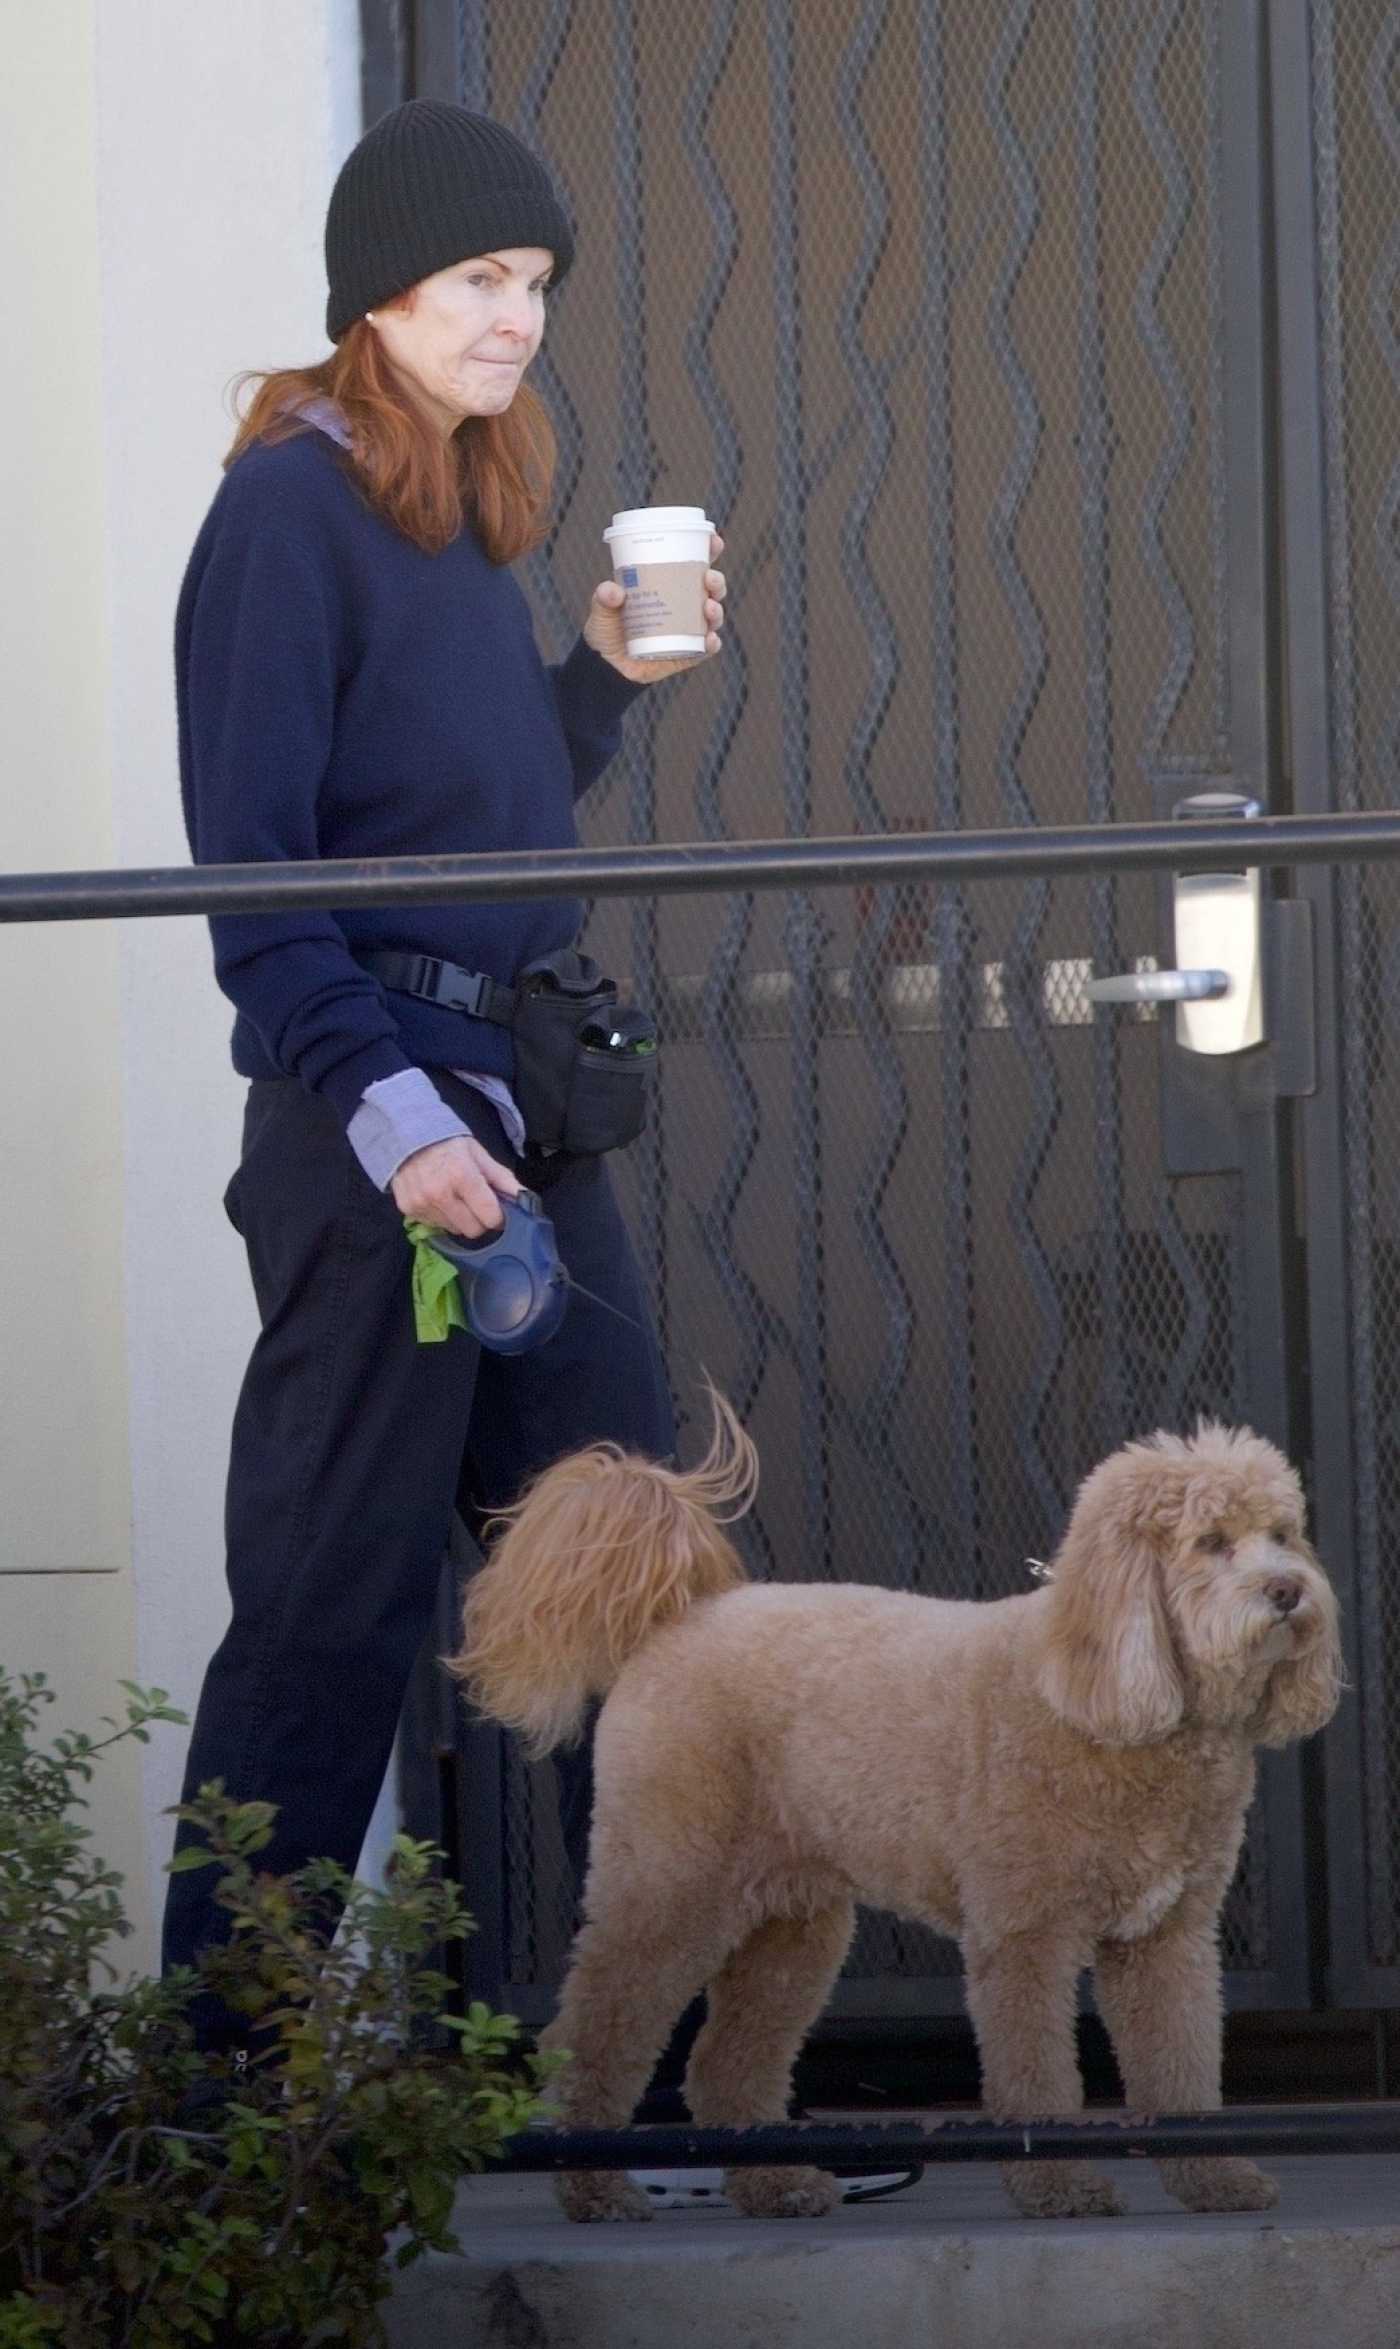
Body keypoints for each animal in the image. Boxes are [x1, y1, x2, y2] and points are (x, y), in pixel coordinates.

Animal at [453, 1390, 1343, 2217]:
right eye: (1210, 1543)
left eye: (1282, 1532)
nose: (1289, 1589)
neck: (1100, 1699)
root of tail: (679, 1618)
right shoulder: (1022, 1936)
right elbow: (1036, 2079)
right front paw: (1059, 2186)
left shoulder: (1169, 1939)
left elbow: (1183, 2070)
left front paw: (1217, 2178)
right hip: (666, 1886)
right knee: (592, 2040)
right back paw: (594, 2184)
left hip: (792, 1924)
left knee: (728, 2063)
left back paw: (778, 2184)